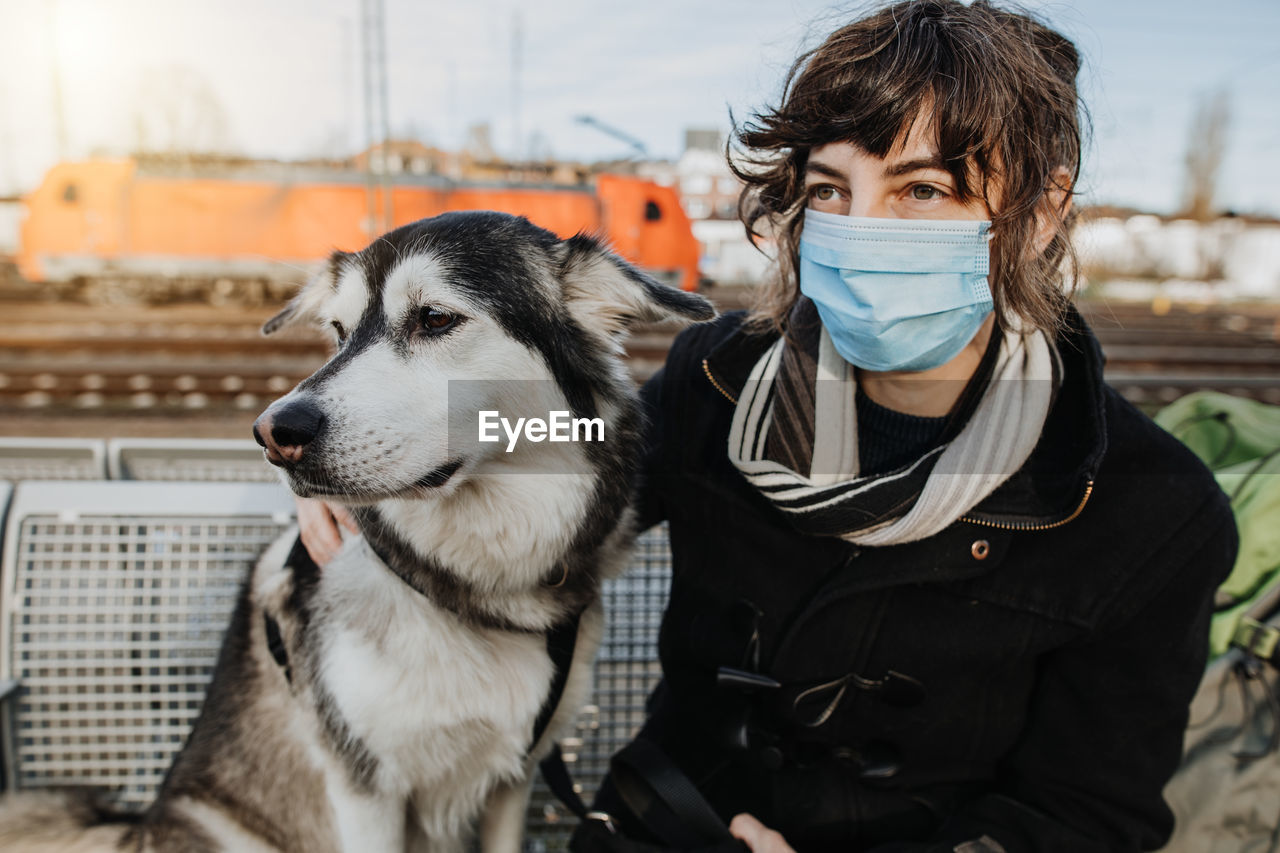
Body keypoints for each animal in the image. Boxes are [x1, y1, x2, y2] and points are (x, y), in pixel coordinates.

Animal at [0, 208, 711, 845]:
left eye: (435, 318)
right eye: (339, 332)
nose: (273, 433)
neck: (467, 585)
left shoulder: (514, 779)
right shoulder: (366, 790)